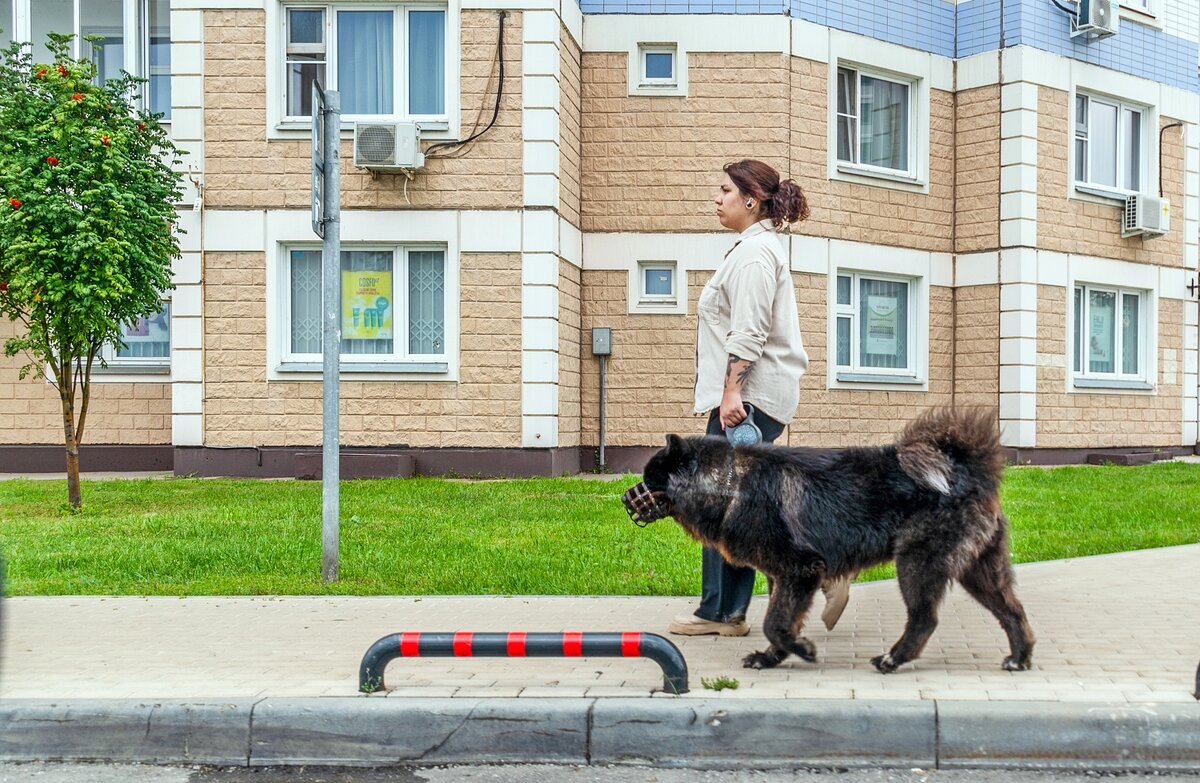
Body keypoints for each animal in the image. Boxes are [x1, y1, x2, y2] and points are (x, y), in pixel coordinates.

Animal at [628, 410, 1032, 672]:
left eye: (650, 479)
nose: (625, 499)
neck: (730, 484)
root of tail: (967, 471)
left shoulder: (800, 569)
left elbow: (775, 622)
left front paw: (801, 650)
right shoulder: (784, 577)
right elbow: (781, 621)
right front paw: (772, 657)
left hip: (916, 565)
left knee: (925, 619)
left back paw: (893, 659)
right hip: (978, 571)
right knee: (1012, 611)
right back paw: (1020, 657)